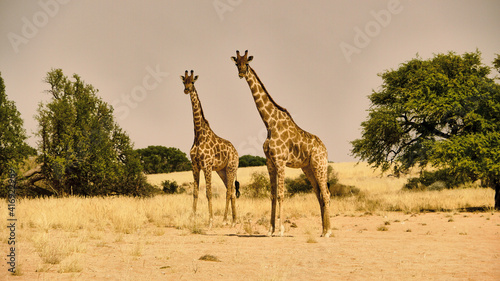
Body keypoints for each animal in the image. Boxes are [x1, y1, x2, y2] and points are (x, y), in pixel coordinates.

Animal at [182, 70, 240, 228]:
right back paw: (234, 220)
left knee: (229, 192)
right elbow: (195, 192)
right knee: (231, 191)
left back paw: (226, 220)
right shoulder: (195, 165)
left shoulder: (207, 165)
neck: (198, 134)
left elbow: (208, 192)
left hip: (231, 168)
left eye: (192, 81)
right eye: (184, 81)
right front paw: (192, 219)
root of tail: (236, 152)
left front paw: (210, 221)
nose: (186, 89)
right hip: (222, 171)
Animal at [230, 50, 332, 236]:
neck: (269, 123)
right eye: (236, 63)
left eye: (247, 63)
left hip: (320, 165)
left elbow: (281, 195)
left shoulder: (280, 161)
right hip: (308, 168)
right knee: (319, 194)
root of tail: (325, 149)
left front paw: (281, 230)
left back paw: (328, 231)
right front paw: (270, 229)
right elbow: (272, 195)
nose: (241, 73)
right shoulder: (270, 162)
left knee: (326, 193)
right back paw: (322, 230)